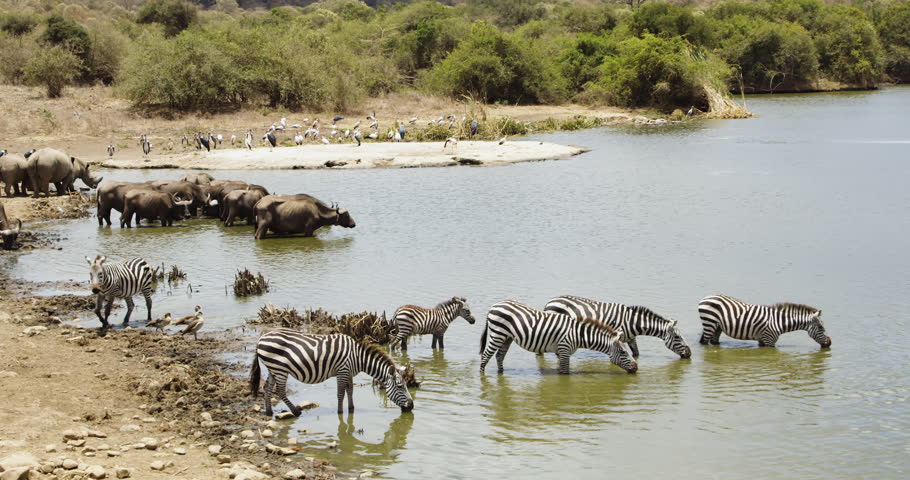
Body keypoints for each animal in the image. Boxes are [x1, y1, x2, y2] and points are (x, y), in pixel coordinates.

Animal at [250, 329, 414, 417]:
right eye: (400, 387)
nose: (411, 406)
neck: (357, 358)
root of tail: (261, 339)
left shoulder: (348, 373)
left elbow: (350, 391)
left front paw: (351, 409)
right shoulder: (342, 371)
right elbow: (341, 393)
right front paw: (340, 412)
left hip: (273, 368)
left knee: (267, 388)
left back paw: (269, 412)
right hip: (280, 369)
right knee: (280, 390)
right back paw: (296, 411)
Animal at [480, 300, 638, 374]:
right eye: (623, 352)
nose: (636, 367)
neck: (579, 335)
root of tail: (494, 305)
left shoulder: (562, 352)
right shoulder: (564, 349)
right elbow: (564, 373)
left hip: (507, 337)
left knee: (499, 356)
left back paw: (501, 373)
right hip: (497, 334)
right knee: (485, 356)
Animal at [544, 295, 691, 358]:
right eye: (677, 337)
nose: (689, 354)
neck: (633, 321)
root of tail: (550, 301)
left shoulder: (631, 339)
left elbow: (636, 353)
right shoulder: (616, 337)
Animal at [698, 295, 831, 348]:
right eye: (821, 328)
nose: (829, 343)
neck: (779, 322)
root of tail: (706, 297)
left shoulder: (762, 340)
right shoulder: (769, 340)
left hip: (717, 326)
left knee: (714, 341)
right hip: (709, 323)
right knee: (705, 342)